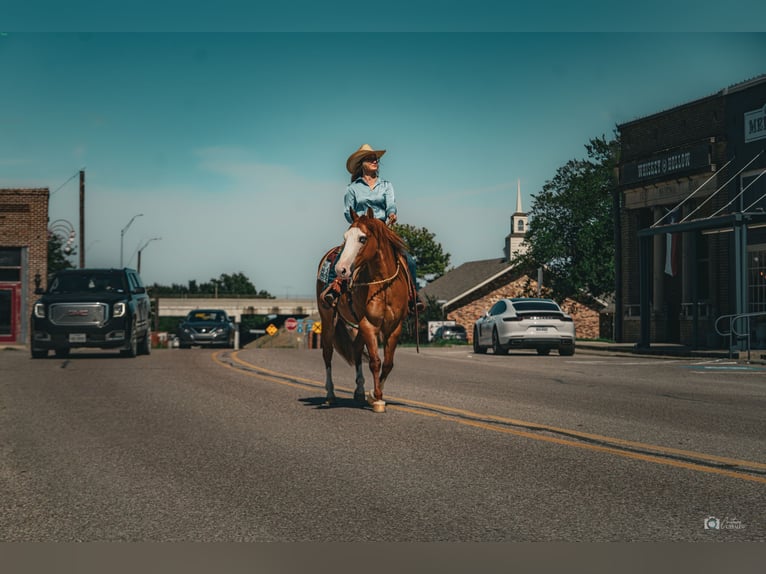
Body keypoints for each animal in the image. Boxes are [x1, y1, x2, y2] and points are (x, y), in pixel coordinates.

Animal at [318, 209, 414, 412]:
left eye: (362, 238)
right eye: (345, 237)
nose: (341, 269)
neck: (383, 286)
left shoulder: (394, 328)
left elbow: (388, 363)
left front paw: (373, 394)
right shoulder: (369, 325)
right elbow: (375, 362)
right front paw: (377, 399)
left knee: (355, 350)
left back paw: (360, 391)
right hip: (328, 319)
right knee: (328, 353)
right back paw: (330, 395)